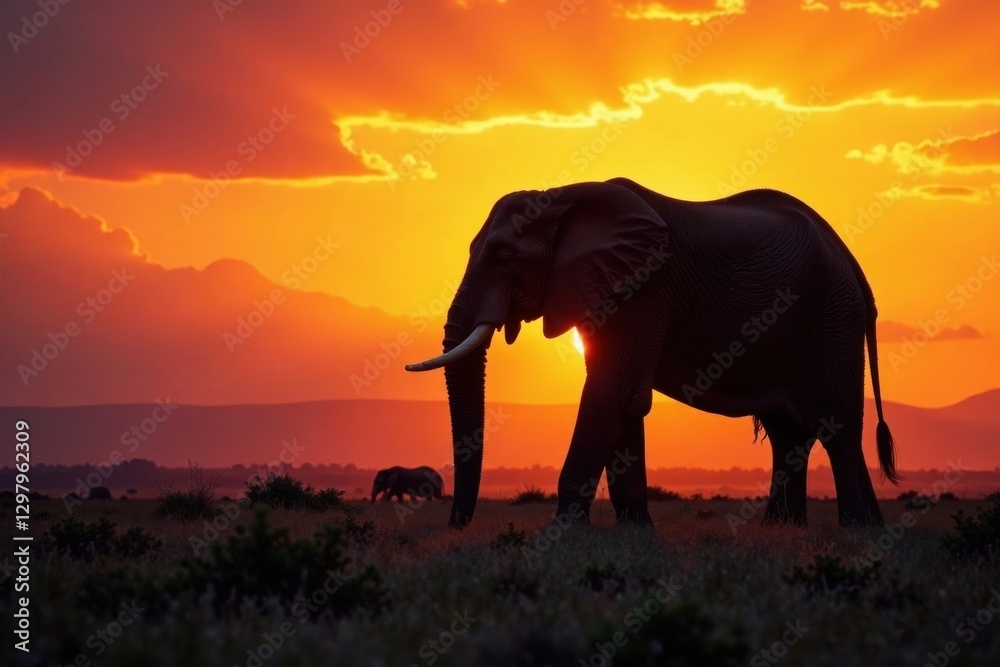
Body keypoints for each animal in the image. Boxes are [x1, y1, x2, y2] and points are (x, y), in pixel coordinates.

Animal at [406, 178, 899, 529]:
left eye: (504, 257)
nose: (456, 526)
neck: (563, 197)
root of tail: (850, 259)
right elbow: (623, 400)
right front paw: (635, 534)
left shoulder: (643, 289)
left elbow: (611, 391)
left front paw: (562, 538)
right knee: (789, 433)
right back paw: (788, 531)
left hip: (831, 316)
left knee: (834, 425)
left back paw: (854, 530)